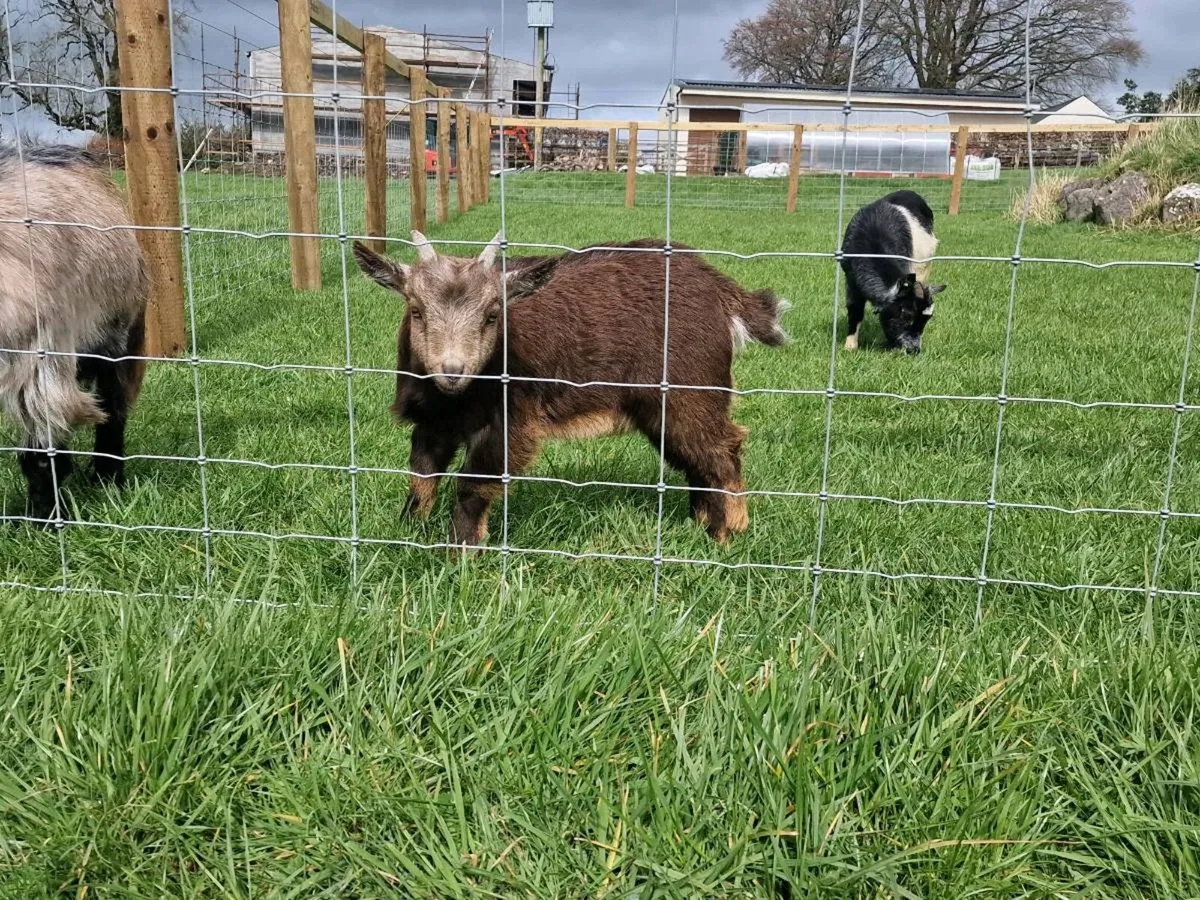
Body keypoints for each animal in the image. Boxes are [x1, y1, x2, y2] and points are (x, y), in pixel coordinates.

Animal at [0, 144, 148, 522]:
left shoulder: (39, 360)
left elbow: (41, 453)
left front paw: (45, 520)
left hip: (115, 336)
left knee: (112, 408)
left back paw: (107, 477)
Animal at [353, 232, 789, 547]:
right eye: (416, 310)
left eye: (493, 314)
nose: (452, 370)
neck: (456, 398)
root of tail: (723, 291)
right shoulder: (432, 421)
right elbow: (421, 476)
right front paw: (409, 529)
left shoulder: (508, 422)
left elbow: (474, 482)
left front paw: (461, 551)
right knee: (695, 458)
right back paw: (699, 523)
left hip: (692, 392)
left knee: (722, 449)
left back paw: (727, 533)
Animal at [841, 189, 946, 354]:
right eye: (906, 315)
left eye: (926, 320)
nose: (914, 350)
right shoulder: (850, 280)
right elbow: (855, 311)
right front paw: (850, 346)